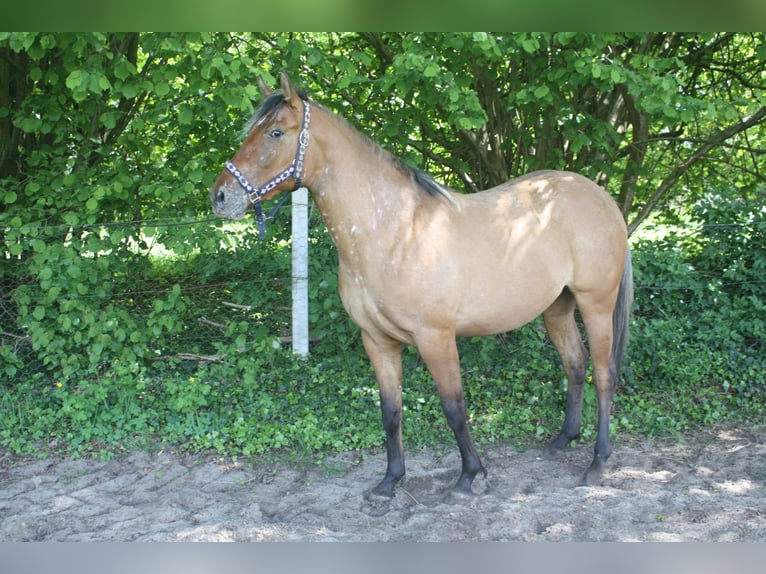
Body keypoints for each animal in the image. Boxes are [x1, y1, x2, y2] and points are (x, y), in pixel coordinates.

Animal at [211, 72, 633, 499]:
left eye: (276, 132)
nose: (221, 197)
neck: (395, 231)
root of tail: (600, 197)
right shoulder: (377, 341)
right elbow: (390, 411)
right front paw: (389, 481)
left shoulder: (436, 338)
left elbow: (454, 408)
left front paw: (471, 476)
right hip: (557, 308)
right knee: (575, 363)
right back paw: (563, 439)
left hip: (596, 304)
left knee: (604, 374)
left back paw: (597, 463)